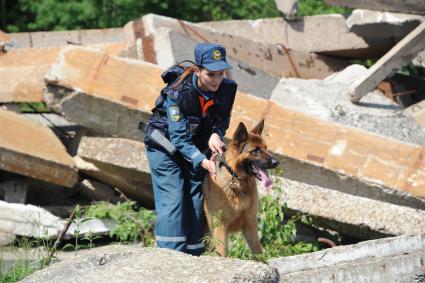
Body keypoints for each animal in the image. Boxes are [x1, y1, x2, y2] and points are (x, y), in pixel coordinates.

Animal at [201, 120, 278, 258]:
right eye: (256, 150)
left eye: (266, 148)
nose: (276, 162)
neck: (238, 183)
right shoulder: (220, 228)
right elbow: (223, 252)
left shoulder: (250, 225)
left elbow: (258, 252)